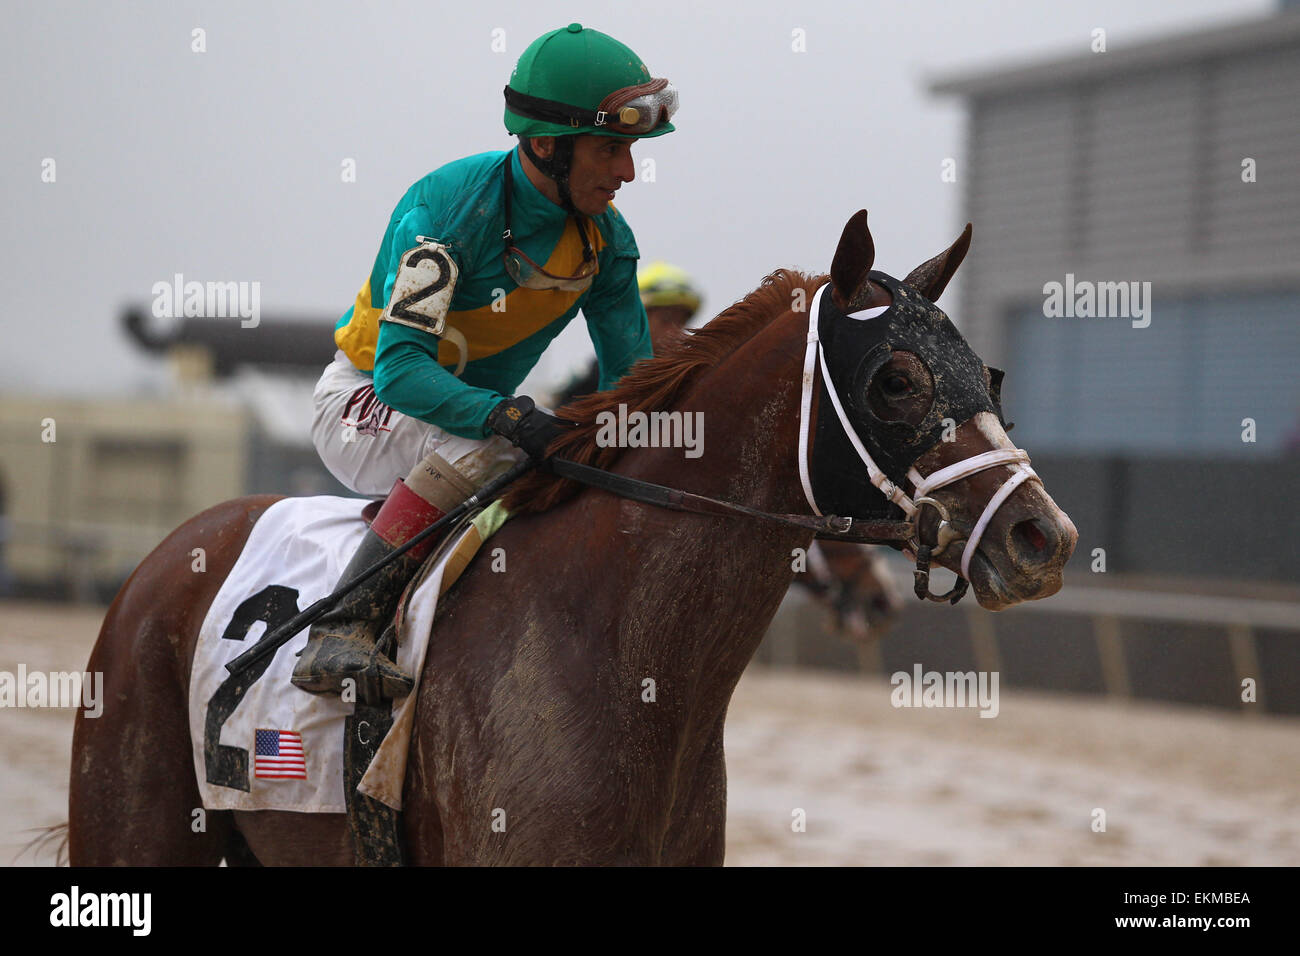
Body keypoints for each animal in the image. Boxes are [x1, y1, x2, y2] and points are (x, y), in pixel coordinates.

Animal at [68, 210, 1076, 868]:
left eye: (986, 372)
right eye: (896, 380)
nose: (1044, 537)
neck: (623, 651)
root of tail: (171, 551)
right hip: (132, 820)